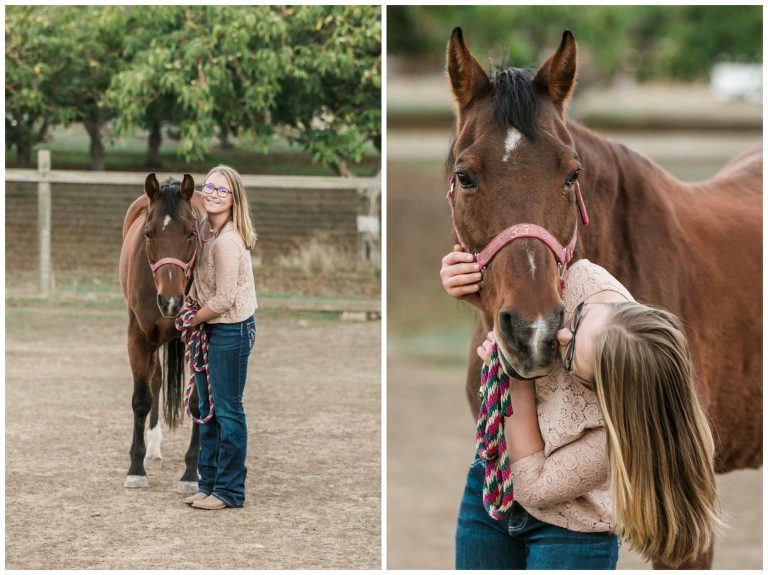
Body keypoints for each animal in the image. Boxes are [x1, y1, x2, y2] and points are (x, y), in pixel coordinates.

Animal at [119, 173, 206, 494]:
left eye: (192, 233)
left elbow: (197, 403)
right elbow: (142, 398)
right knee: (156, 379)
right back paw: (153, 447)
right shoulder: (139, 337)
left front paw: (191, 472)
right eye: (148, 233)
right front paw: (136, 469)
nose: (171, 301)